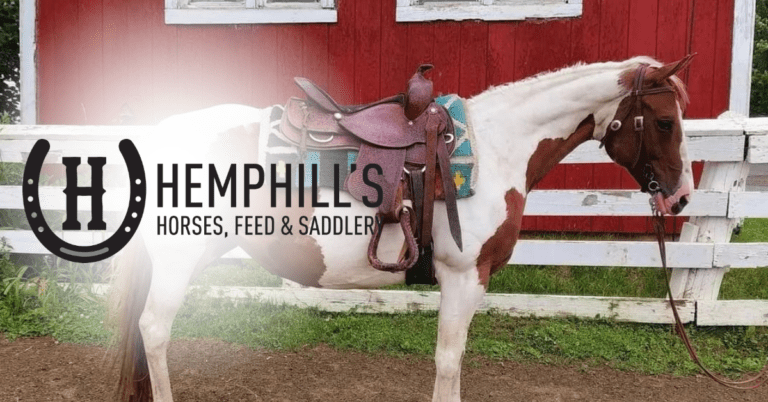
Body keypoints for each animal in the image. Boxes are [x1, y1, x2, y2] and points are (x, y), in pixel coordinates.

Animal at [112, 55, 695, 402]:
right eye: (666, 122)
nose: (680, 195)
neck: (497, 146)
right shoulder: (464, 277)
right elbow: (448, 361)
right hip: (177, 260)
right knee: (155, 332)